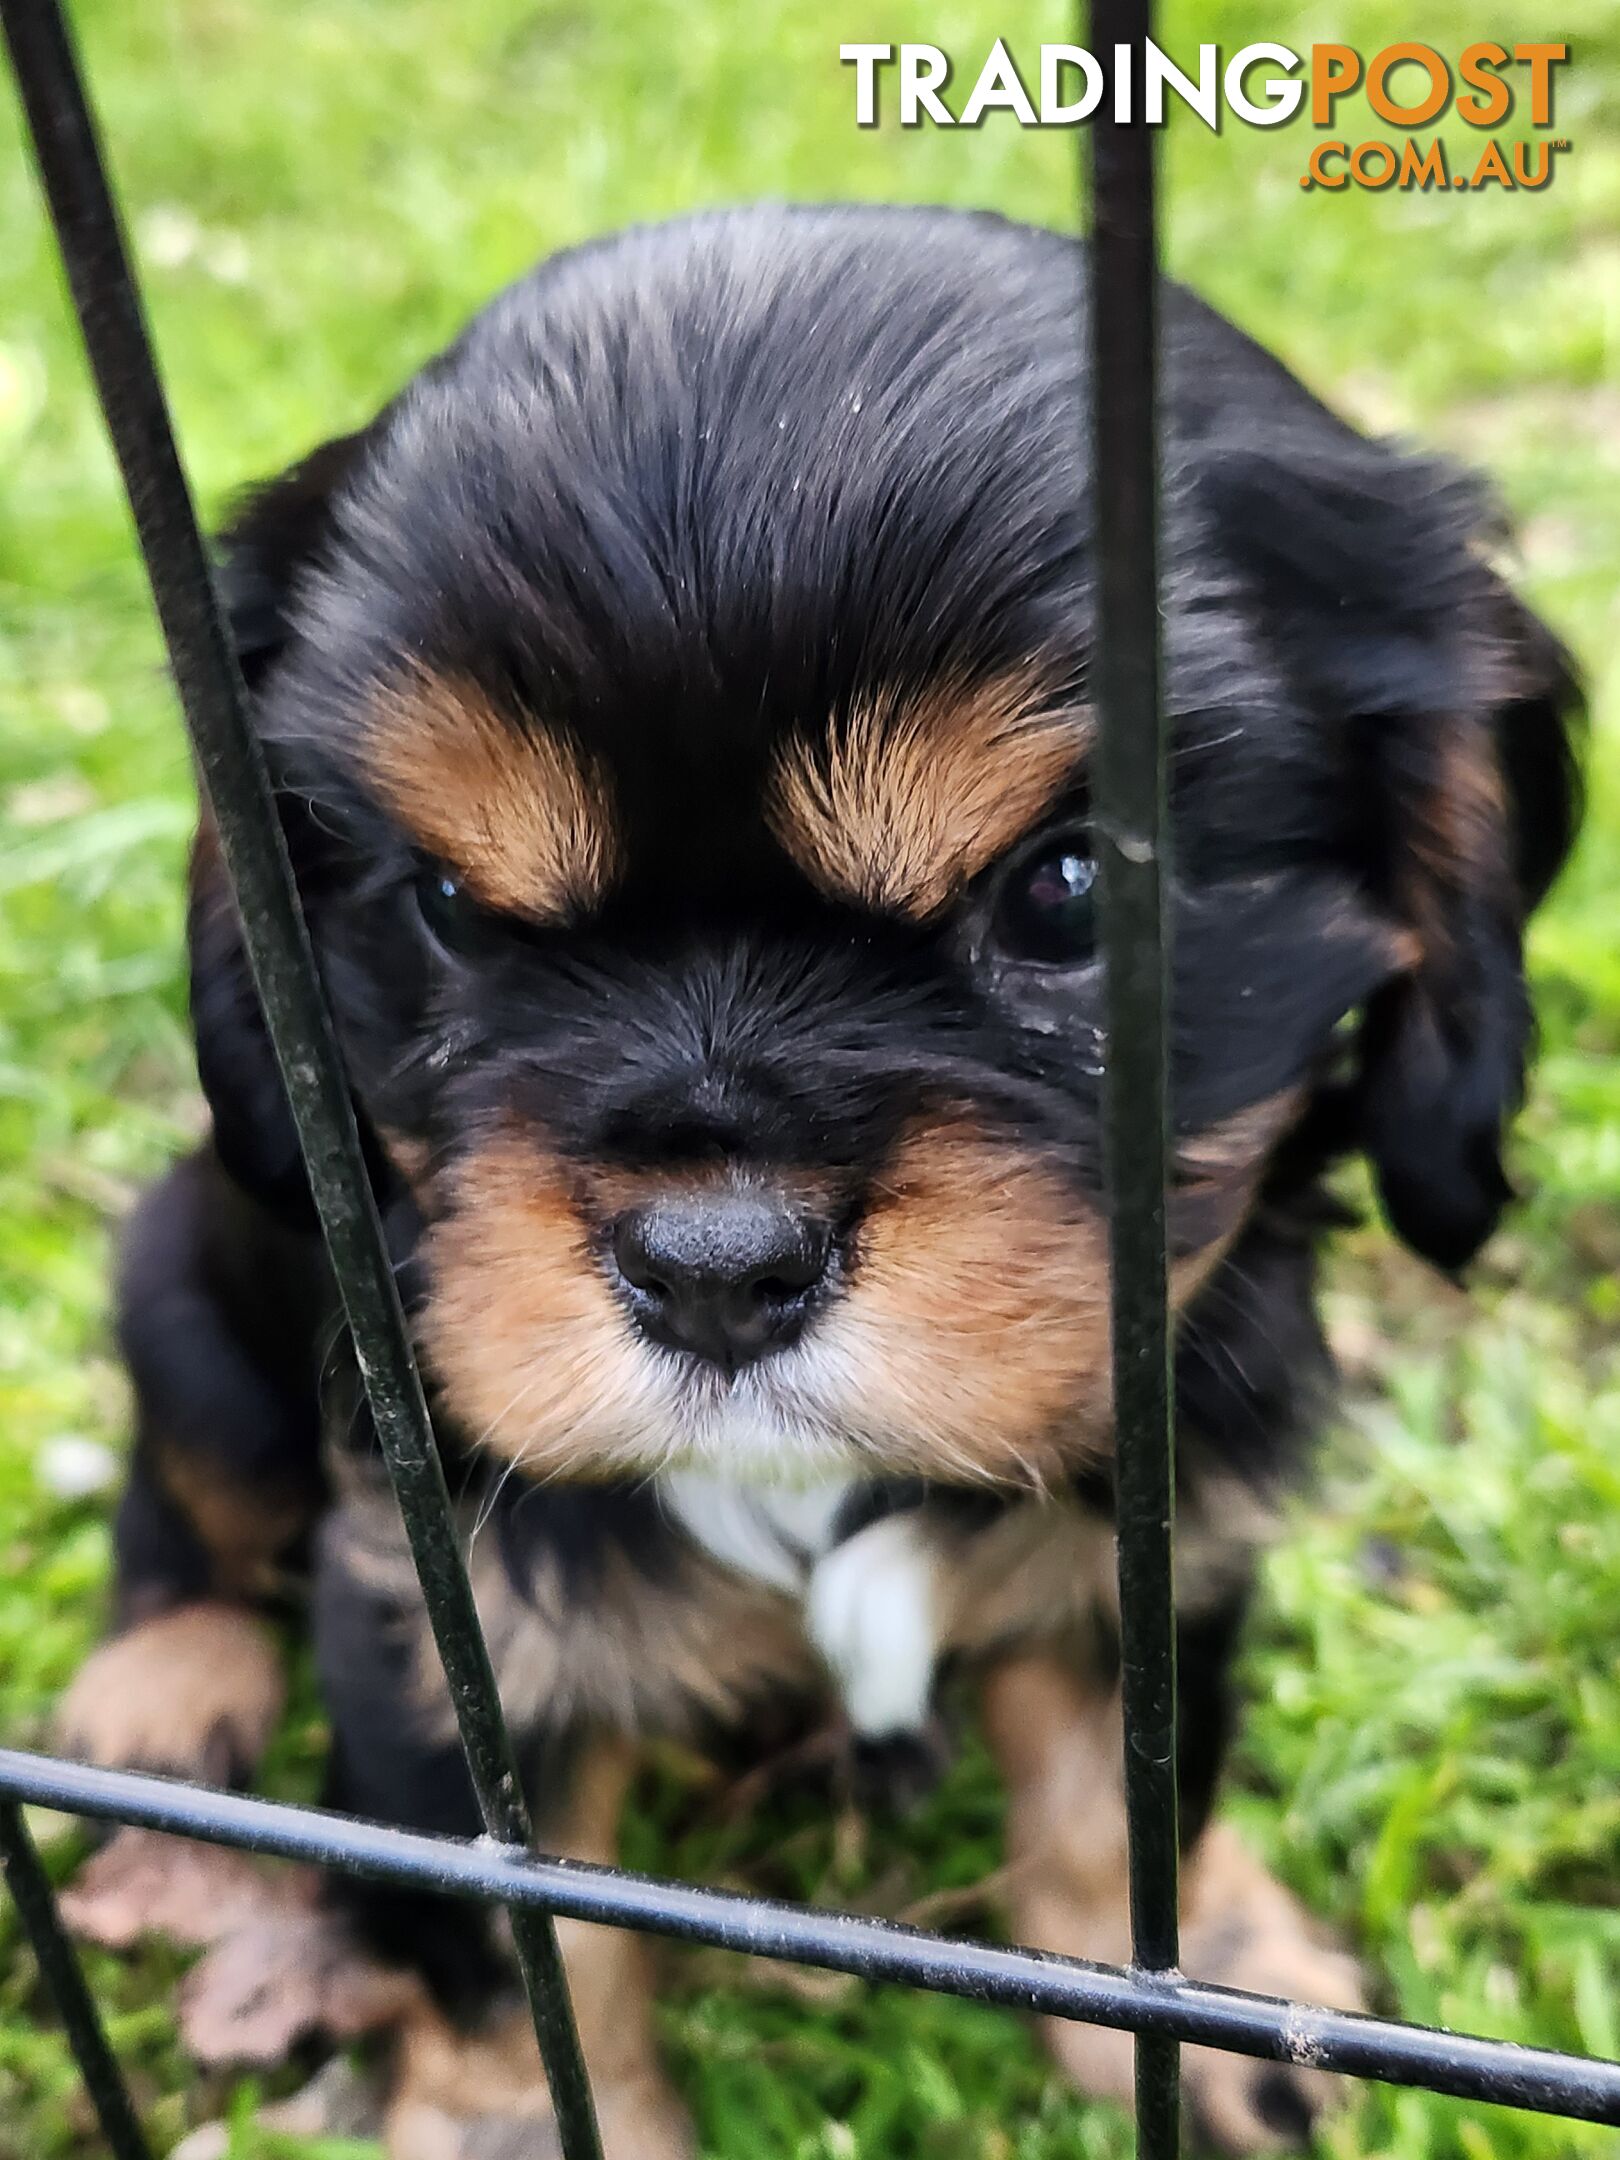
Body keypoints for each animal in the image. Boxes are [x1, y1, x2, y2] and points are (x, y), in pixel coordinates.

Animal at [57, 206, 1581, 2160]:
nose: (714, 1265)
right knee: (183, 1498)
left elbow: (1125, 1814)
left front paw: (1220, 1995)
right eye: (451, 909)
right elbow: (518, 1942)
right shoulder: (434, 1605)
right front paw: (516, 2121)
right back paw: (155, 1702)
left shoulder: (1168, 1550)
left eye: (1068, 892)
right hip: (188, 1285)